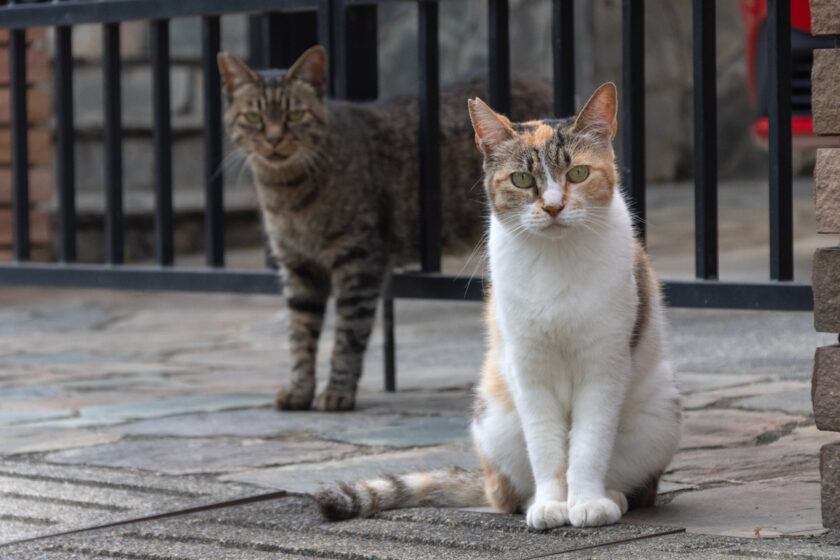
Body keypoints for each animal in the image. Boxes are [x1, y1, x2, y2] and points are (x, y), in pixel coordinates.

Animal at [220, 47, 556, 412]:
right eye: (253, 117)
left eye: (295, 114)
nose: (273, 138)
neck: (287, 193)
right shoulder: (298, 267)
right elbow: (300, 334)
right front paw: (299, 390)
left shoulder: (359, 260)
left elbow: (347, 336)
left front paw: (337, 392)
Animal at [316, 81, 684, 528]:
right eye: (522, 180)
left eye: (577, 174)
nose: (554, 206)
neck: (556, 261)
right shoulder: (527, 367)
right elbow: (545, 445)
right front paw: (551, 504)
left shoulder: (604, 364)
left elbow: (589, 442)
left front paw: (586, 501)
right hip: (494, 419)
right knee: (505, 495)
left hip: (660, 414)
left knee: (638, 485)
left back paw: (613, 495)